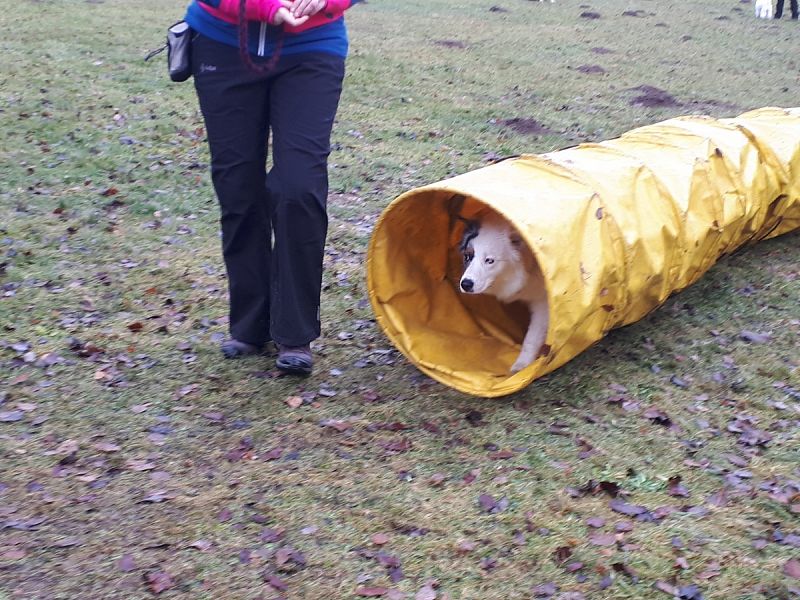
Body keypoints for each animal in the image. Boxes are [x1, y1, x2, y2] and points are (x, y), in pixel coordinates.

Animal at [456, 213, 552, 372]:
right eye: (468, 256)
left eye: (489, 260)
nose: (466, 284)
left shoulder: (543, 302)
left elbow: (532, 336)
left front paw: (521, 365)